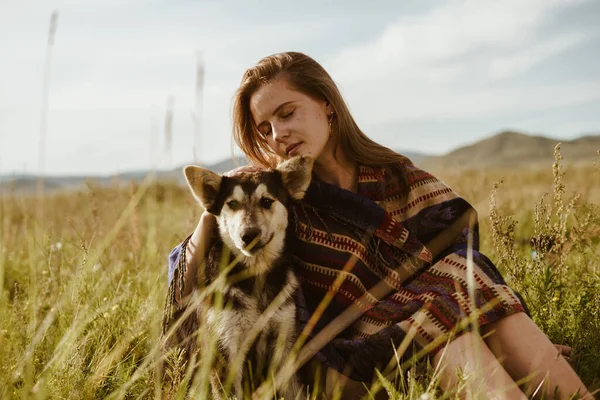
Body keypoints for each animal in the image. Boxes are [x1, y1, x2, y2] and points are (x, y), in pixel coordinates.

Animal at [180, 155, 314, 398]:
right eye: (232, 204)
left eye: (267, 201)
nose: (248, 235)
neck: (255, 275)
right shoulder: (225, 349)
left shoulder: (284, 344)